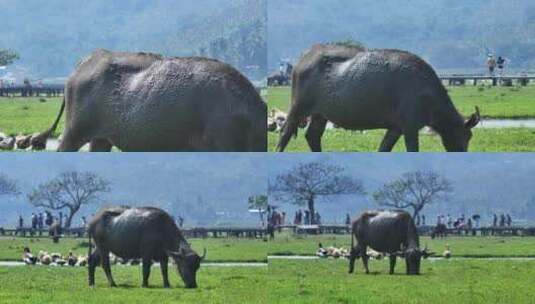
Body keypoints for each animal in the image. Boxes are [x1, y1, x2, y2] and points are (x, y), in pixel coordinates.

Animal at [278, 43, 484, 152]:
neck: (426, 93)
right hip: (298, 108)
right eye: (465, 135)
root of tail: (303, 59)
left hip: (321, 114)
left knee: (312, 135)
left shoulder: (395, 128)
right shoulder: (410, 128)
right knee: (285, 134)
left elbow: (384, 148)